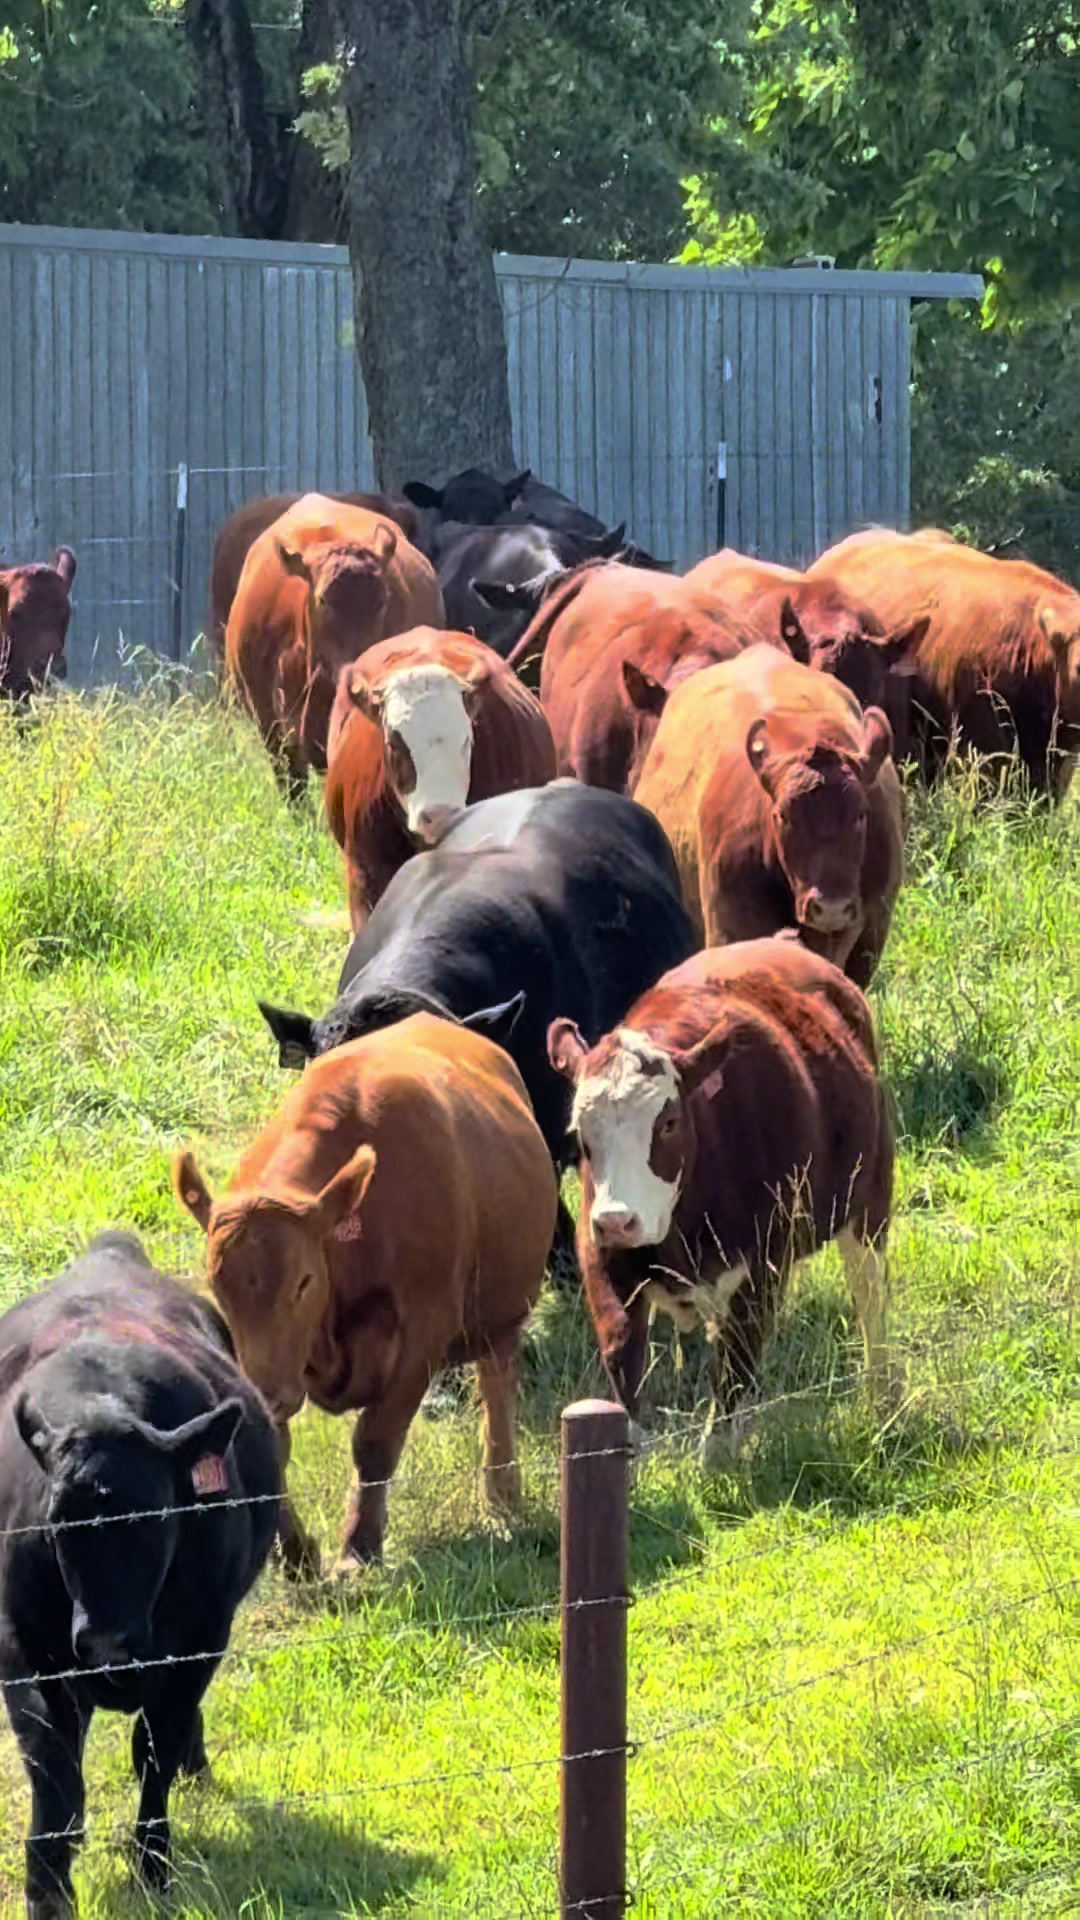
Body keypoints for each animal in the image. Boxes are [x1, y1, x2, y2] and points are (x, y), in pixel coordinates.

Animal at [0, 1230, 278, 1916]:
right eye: (55, 1523)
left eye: (156, 1516)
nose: (105, 1642)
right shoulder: (21, 1645)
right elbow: (53, 1769)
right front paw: (47, 1887)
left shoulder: (203, 1637)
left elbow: (156, 1748)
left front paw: (153, 1870)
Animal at [174, 1015, 556, 1574]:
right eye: (218, 1287)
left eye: (303, 1282)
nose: (269, 1393)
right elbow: (275, 1444)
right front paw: (296, 1553)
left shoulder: (423, 1333)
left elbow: (376, 1440)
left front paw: (359, 1546)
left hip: (501, 1317)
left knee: (496, 1384)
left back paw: (502, 1492)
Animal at [547, 935, 895, 1447]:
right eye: (580, 1130)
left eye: (668, 1123)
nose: (617, 1220)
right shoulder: (602, 1262)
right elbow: (624, 1367)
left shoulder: (763, 1268)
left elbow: (733, 1373)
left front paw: (718, 1457)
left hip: (869, 1201)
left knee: (870, 1297)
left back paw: (885, 1399)